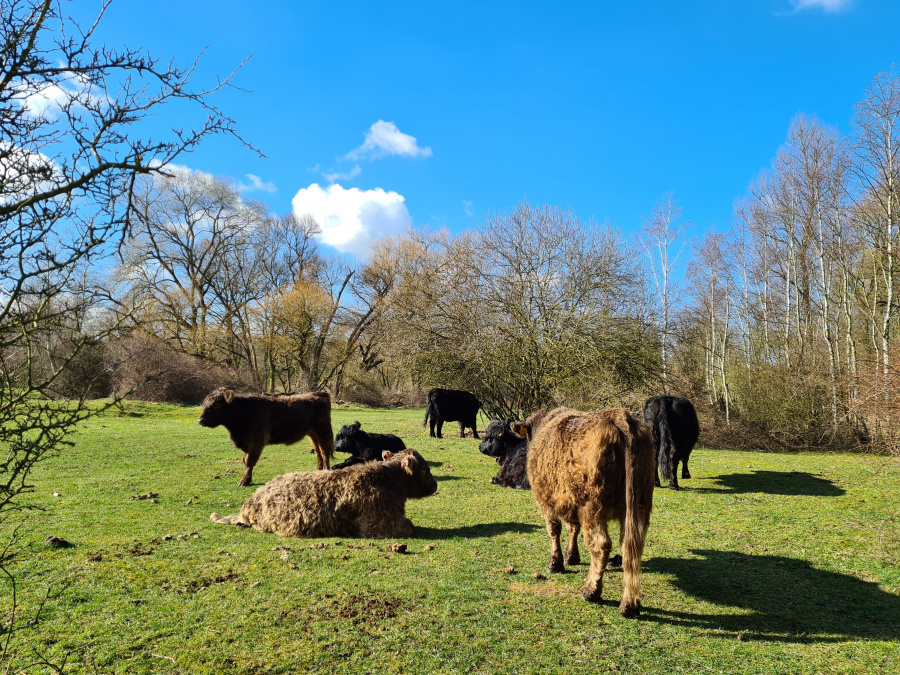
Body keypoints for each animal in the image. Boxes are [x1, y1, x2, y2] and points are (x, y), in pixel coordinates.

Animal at [197, 388, 334, 488]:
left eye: (216, 405)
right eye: (204, 404)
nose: (200, 420)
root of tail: (319, 393)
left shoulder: (257, 440)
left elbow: (250, 460)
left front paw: (244, 481)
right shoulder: (246, 443)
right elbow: (245, 460)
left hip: (323, 431)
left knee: (324, 451)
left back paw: (326, 471)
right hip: (312, 435)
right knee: (318, 451)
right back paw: (318, 471)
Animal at [211, 448, 436, 540]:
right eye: (425, 469)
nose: (435, 486)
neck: (391, 480)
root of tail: (249, 503)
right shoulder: (382, 523)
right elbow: (409, 526)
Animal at [520, 406, 652, 616]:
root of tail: (617, 415)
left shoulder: (547, 503)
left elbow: (554, 531)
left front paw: (555, 564)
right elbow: (573, 529)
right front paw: (572, 557)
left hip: (592, 508)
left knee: (600, 545)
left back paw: (591, 591)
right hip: (639, 505)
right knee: (631, 548)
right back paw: (630, 605)